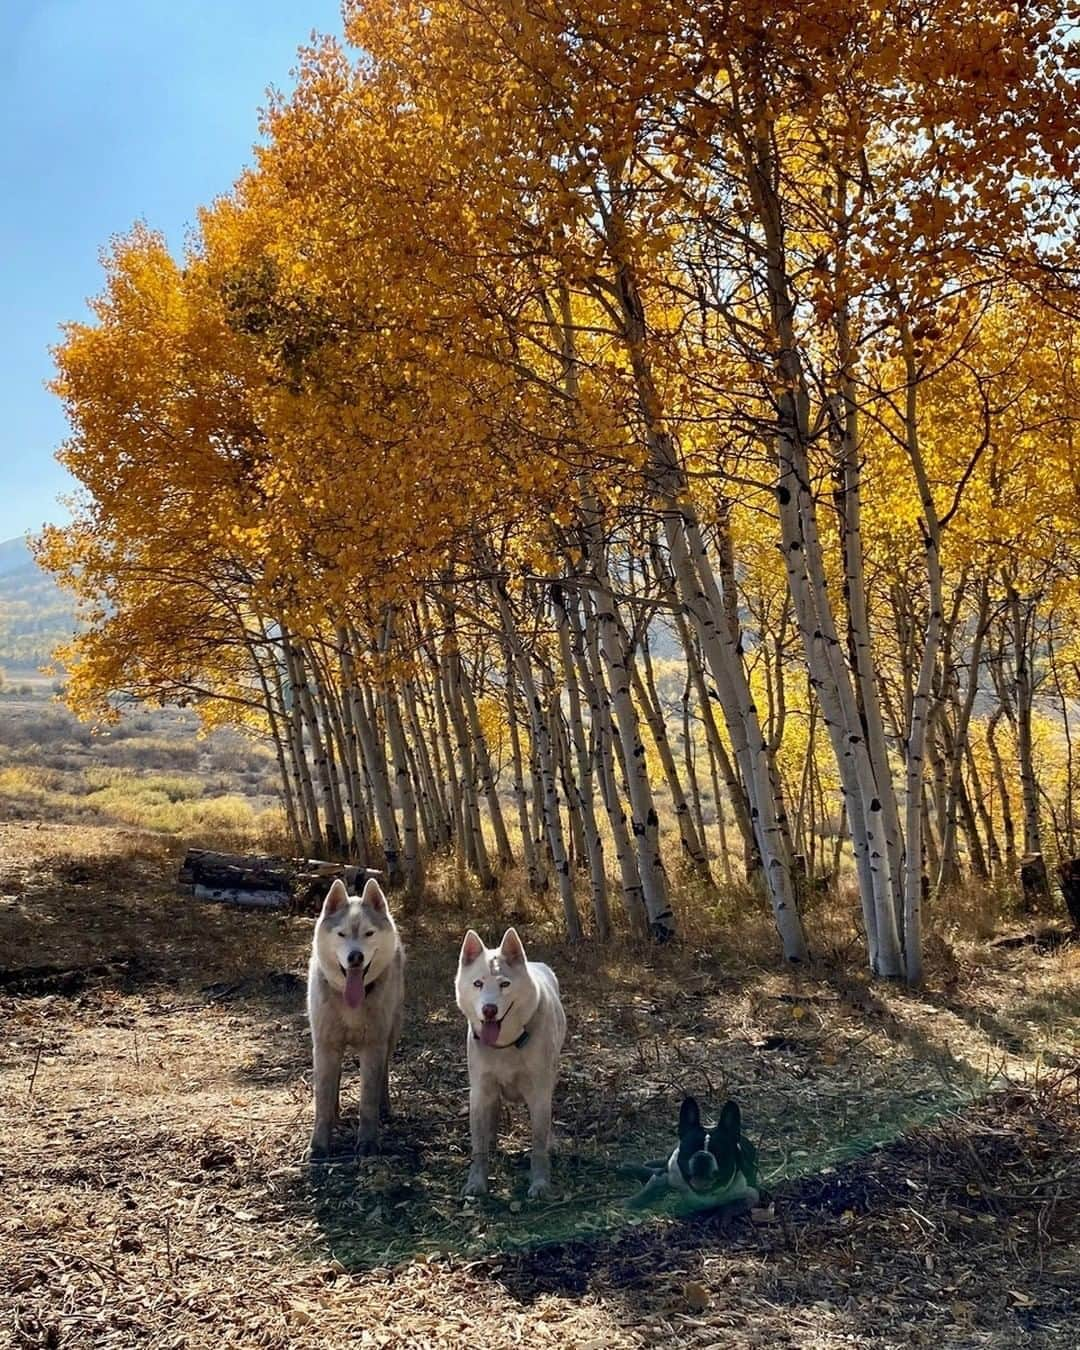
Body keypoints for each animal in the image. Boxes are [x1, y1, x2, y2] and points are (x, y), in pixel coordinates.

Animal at [306, 874, 402, 1161]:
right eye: (342, 934)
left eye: (369, 933)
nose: (355, 957)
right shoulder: (325, 1046)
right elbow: (323, 1100)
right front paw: (319, 1144)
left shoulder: (373, 1047)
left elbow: (367, 1101)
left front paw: (368, 1142)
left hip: (390, 1036)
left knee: (383, 1075)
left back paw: (384, 1107)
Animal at [450, 923, 564, 1198]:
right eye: (478, 983)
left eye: (504, 984)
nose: (489, 1010)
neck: (507, 1044)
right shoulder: (480, 1091)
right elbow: (479, 1147)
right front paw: (477, 1181)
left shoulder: (539, 1094)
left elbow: (538, 1147)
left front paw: (540, 1183)